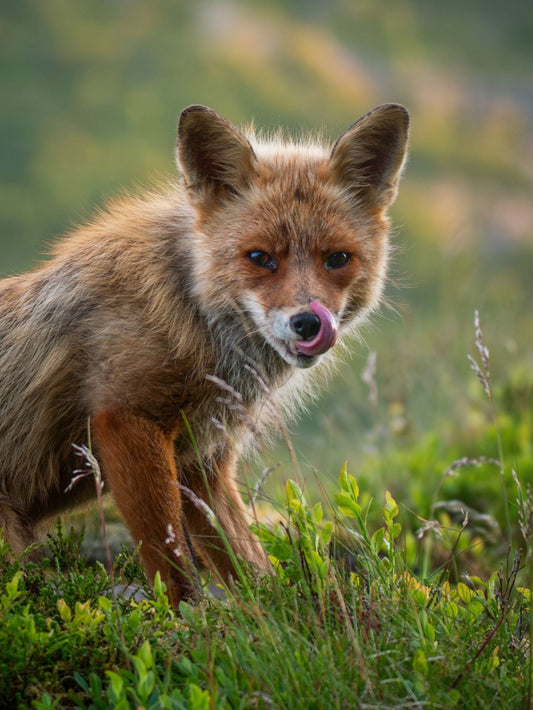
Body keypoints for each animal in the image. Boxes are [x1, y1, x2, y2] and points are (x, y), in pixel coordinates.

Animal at [0, 103, 409, 604]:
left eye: (337, 259)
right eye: (260, 258)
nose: (309, 323)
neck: (188, 310)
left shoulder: (201, 461)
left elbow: (253, 570)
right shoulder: (126, 420)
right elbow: (172, 565)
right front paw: (189, 622)